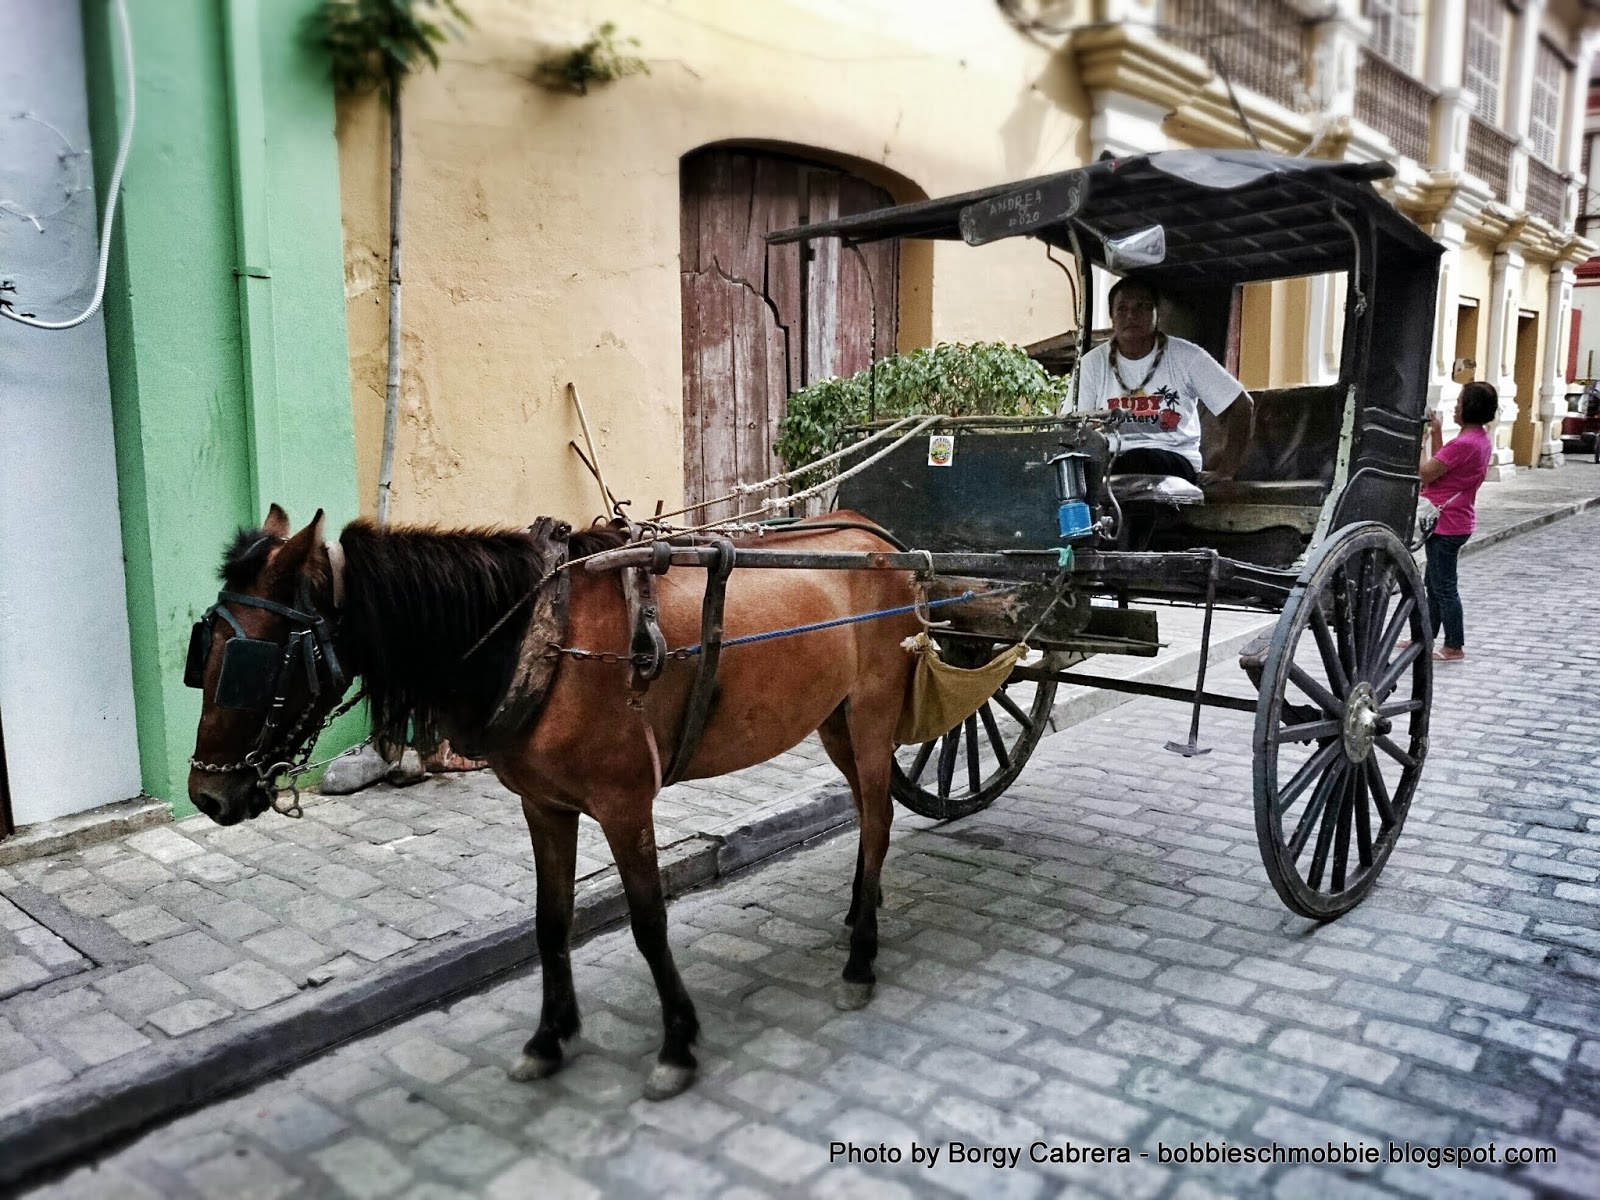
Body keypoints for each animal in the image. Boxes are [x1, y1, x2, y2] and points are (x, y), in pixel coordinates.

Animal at [187, 505, 921, 1100]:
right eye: (203, 651)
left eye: (251, 658)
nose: (206, 794)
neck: (541, 635)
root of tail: (875, 534)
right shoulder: (543, 807)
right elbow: (550, 922)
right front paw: (549, 1037)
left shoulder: (626, 806)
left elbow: (648, 922)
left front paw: (677, 1043)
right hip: (835, 719)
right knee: (866, 817)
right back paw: (858, 914)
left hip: (873, 709)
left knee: (880, 819)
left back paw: (861, 958)